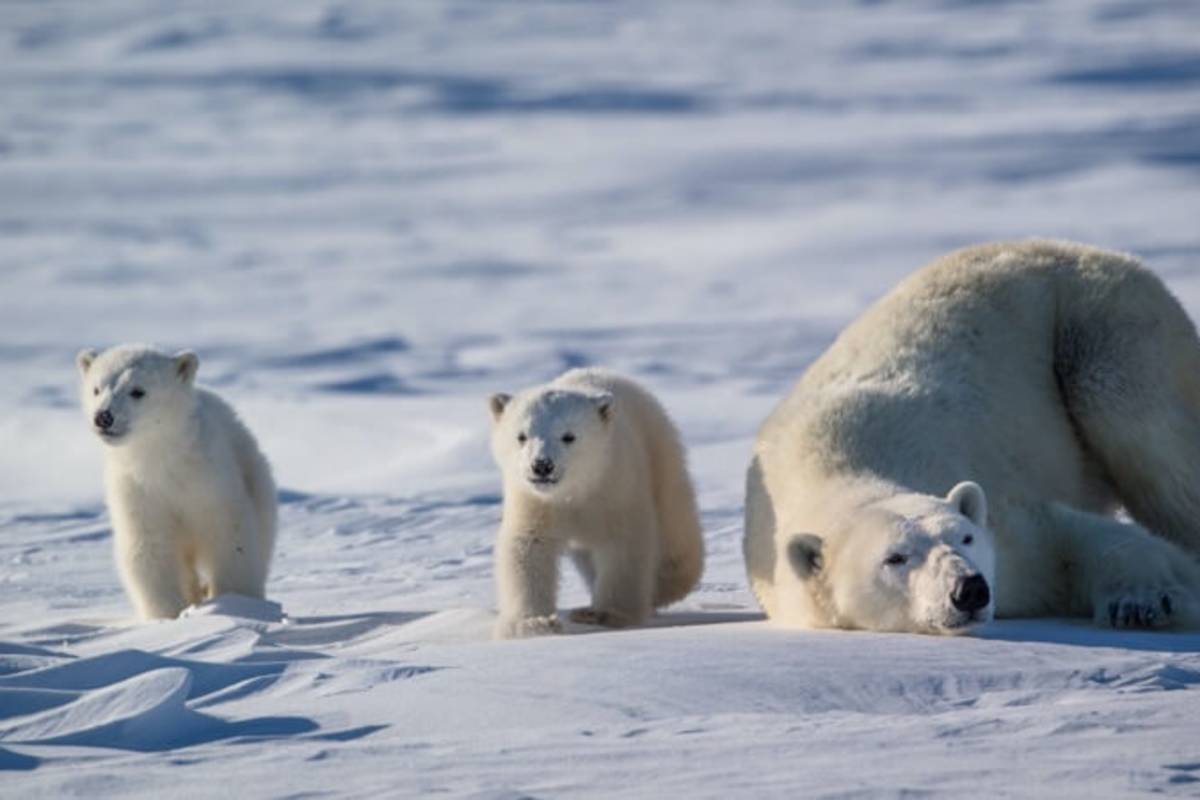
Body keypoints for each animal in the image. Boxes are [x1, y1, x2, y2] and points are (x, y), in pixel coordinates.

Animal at [744, 241, 1200, 633]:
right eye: (895, 557)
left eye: (965, 536)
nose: (969, 589)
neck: (837, 472)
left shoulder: (1008, 530)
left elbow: (1070, 539)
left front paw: (1143, 602)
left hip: (1102, 322)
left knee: (1148, 437)